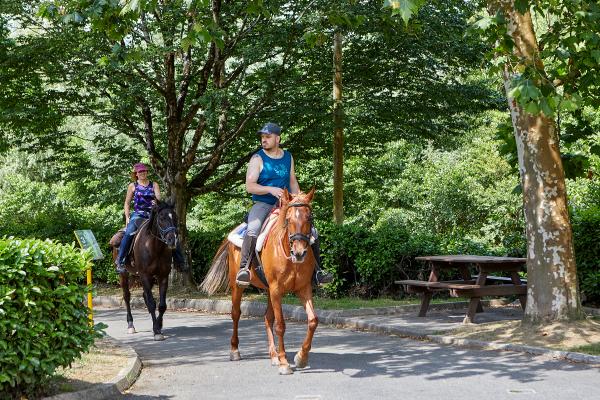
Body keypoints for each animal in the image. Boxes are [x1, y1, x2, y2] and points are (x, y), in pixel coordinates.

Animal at [110, 200, 179, 340]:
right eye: (161, 218)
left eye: (175, 217)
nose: (172, 240)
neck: (154, 246)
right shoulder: (145, 275)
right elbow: (152, 303)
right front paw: (156, 330)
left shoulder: (163, 276)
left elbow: (162, 305)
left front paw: (158, 325)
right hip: (124, 274)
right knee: (127, 296)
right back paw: (130, 325)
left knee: (144, 295)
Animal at [202, 189, 318, 374]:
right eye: (288, 219)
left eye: (309, 218)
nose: (299, 253)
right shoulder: (276, 289)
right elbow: (280, 325)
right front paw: (285, 363)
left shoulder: (303, 288)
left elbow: (313, 321)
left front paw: (301, 357)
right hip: (238, 286)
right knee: (236, 313)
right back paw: (235, 351)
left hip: (269, 290)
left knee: (267, 318)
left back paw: (273, 355)